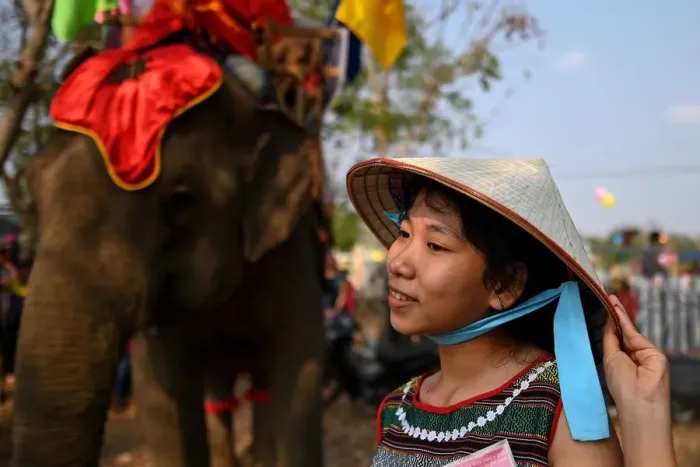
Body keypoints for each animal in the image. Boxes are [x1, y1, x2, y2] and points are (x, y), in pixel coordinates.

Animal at [11, 54, 328, 467]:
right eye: (34, 190)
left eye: (180, 201)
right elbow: (164, 397)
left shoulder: (292, 249)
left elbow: (299, 383)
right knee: (219, 395)